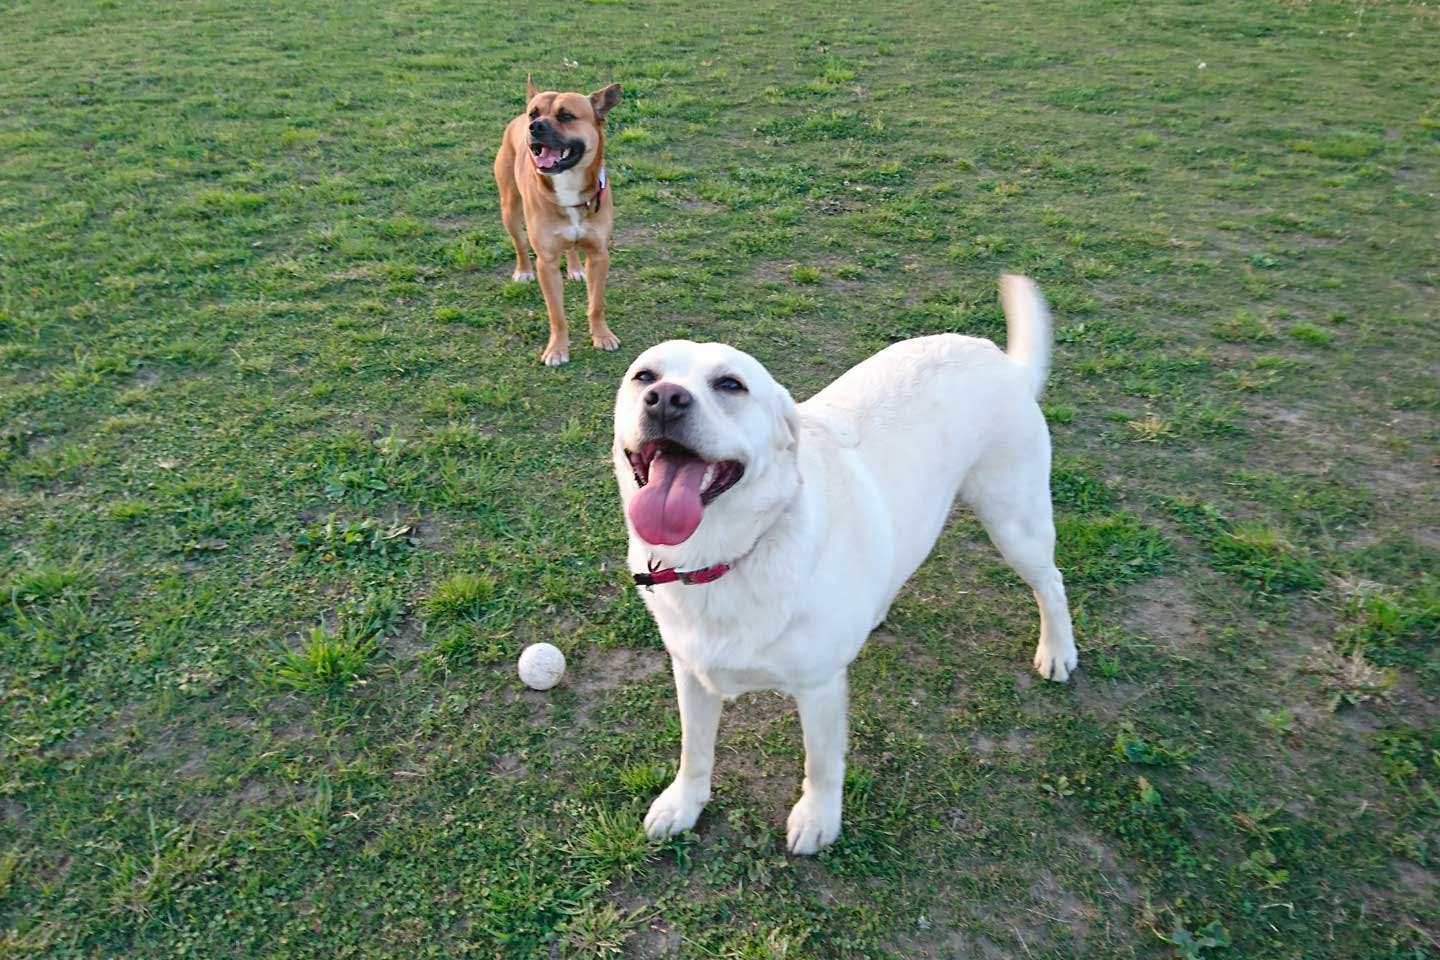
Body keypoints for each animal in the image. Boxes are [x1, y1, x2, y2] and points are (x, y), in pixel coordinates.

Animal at [492, 75, 622, 365]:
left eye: (566, 116)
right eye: (535, 113)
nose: (534, 126)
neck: (568, 183)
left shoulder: (599, 255)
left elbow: (596, 304)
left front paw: (602, 336)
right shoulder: (547, 263)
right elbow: (556, 314)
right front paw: (557, 349)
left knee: (571, 249)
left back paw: (575, 269)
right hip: (509, 208)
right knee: (519, 243)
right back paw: (523, 271)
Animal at [613, 273, 1077, 852]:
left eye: (731, 385)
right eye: (644, 376)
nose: (666, 399)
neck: (721, 558)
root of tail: (1000, 359)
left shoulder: (818, 689)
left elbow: (822, 763)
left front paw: (818, 818)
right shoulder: (691, 671)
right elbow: (694, 750)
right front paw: (684, 803)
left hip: (1015, 522)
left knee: (1052, 583)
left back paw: (1058, 650)